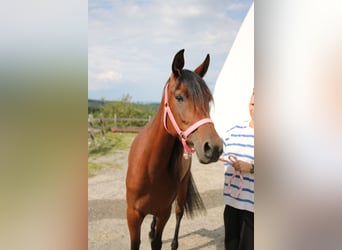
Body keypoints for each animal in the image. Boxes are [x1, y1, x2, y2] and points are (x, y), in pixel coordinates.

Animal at [125, 49, 222, 250]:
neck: (149, 168)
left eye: (208, 99)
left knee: (179, 213)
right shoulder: (133, 215)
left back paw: (174, 243)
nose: (214, 147)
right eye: (179, 97)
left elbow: (157, 242)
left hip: (181, 190)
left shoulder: (164, 212)